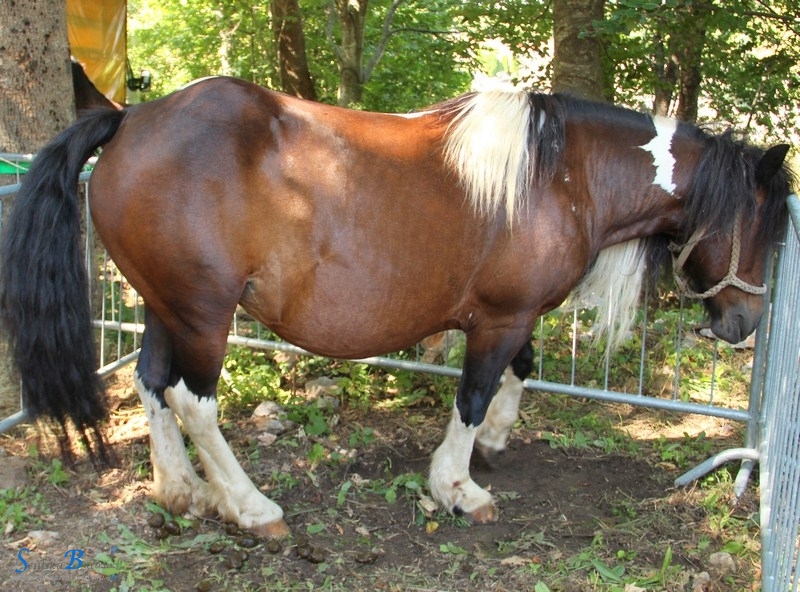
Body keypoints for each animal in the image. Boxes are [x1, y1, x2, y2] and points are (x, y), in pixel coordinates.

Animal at [0, 76, 792, 540]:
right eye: (762, 226)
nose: (742, 325)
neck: (561, 175)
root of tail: (131, 118)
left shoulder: (516, 316)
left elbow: (520, 373)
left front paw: (492, 446)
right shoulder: (500, 317)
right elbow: (475, 395)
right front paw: (458, 486)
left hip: (165, 306)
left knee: (152, 385)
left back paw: (180, 491)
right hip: (203, 312)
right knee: (194, 402)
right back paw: (250, 507)